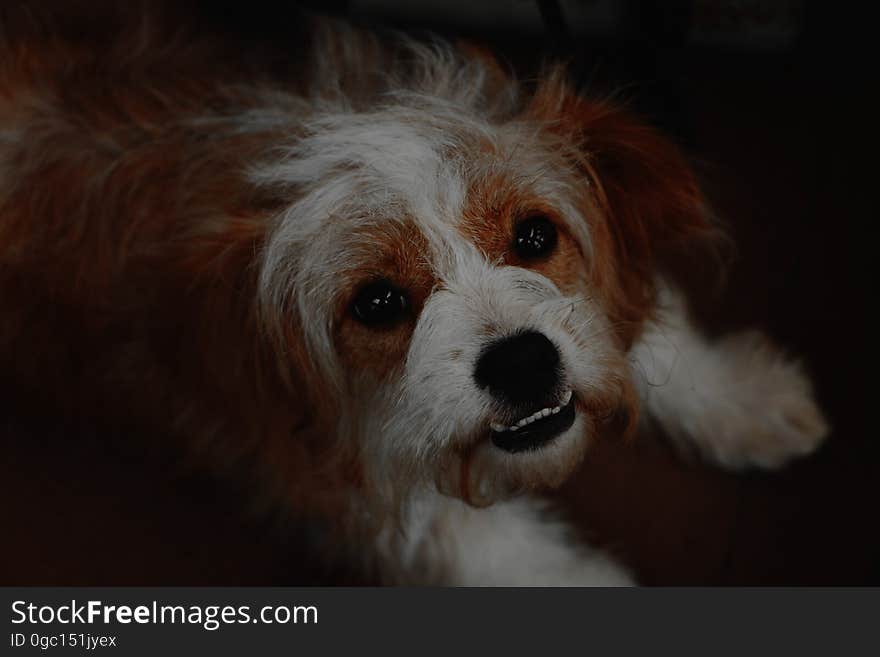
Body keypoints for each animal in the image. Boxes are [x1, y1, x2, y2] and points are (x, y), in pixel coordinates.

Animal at [0, 6, 828, 584]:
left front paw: (737, 394)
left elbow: (641, 316)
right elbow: (497, 548)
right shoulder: (322, 464)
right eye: (378, 302)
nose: (523, 362)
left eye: (534, 235)